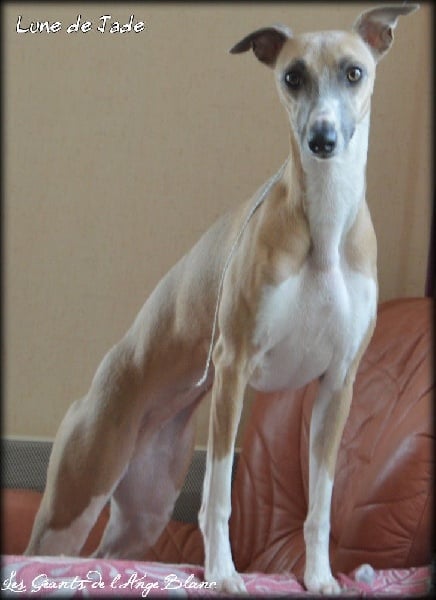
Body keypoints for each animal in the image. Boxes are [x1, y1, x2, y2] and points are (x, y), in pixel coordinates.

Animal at [26, 3, 419, 594]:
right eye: (292, 76)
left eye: (355, 72)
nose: (322, 139)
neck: (324, 227)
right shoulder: (234, 367)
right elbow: (217, 496)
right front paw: (222, 573)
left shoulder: (338, 386)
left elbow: (321, 506)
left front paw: (320, 577)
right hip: (78, 491)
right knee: (49, 546)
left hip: (147, 507)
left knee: (108, 551)